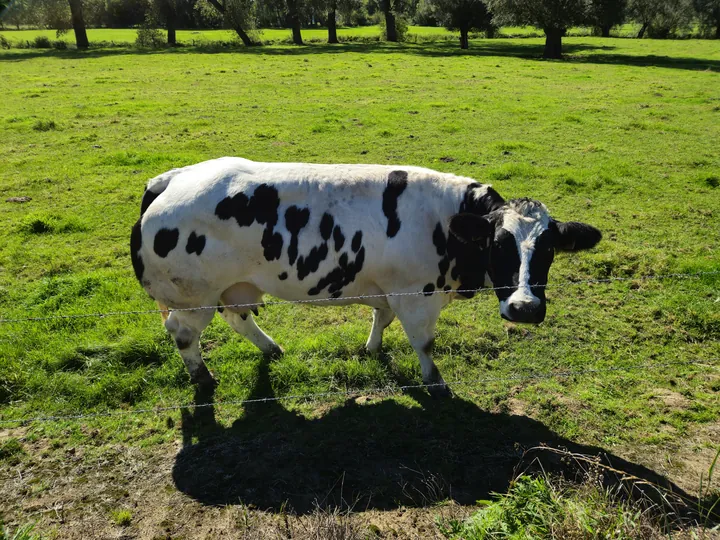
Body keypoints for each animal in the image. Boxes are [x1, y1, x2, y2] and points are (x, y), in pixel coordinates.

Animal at [131, 156, 600, 396]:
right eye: (499, 245)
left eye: (549, 250)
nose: (524, 308)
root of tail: (172, 178)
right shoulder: (416, 294)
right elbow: (424, 343)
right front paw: (434, 381)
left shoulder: (387, 287)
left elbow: (381, 318)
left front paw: (372, 348)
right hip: (193, 295)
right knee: (184, 334)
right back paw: (202, 376)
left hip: (232, 286)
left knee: (238, 316)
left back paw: (271, 348)